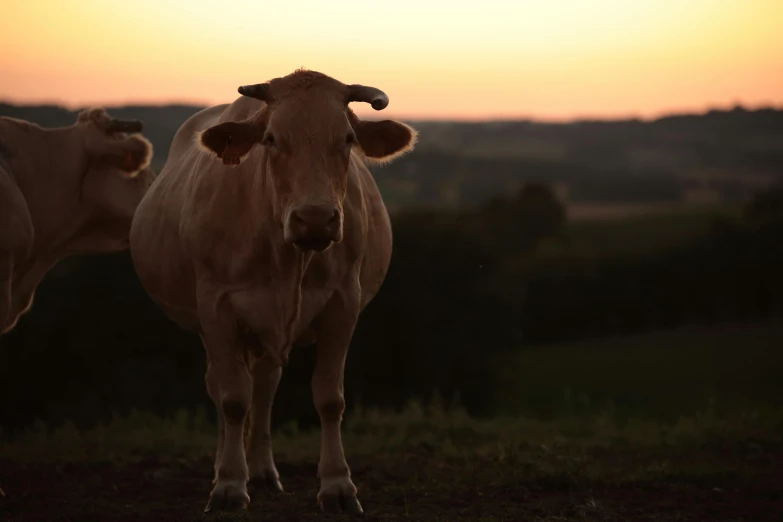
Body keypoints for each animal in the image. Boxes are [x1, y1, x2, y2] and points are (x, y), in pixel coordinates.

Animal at [129, 69, 420, 512]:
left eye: (348, 138)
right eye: (270, 139)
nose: (315, 218)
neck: (287, 259)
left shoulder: (343, 303)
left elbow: (329, 398)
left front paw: (338, 485)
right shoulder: (216, 306)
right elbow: (233, 398)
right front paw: (229, 485)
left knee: (264, 386)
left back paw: (263, 472)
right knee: (223, 386)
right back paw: (225, 467)